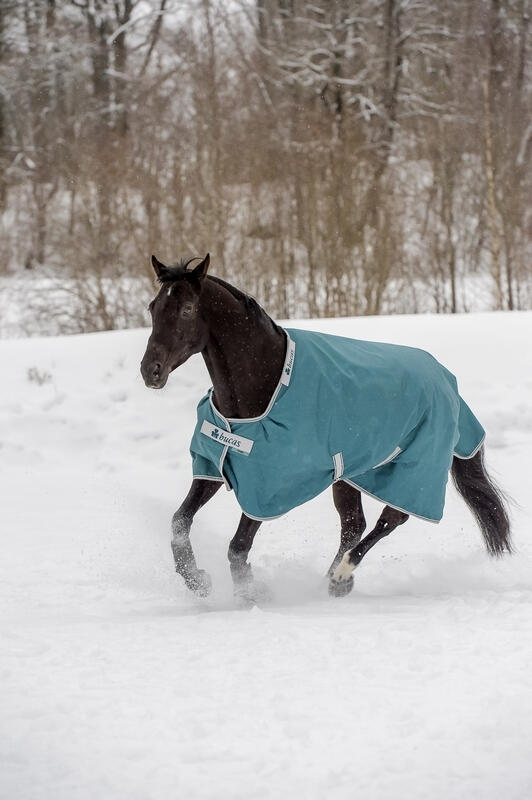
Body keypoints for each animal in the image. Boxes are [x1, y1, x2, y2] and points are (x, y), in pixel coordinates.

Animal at [140, 253, 512, 602]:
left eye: (187, 309)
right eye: (153, 307)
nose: (150, 371)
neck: (262, 385)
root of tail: (446, 378)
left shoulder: (271, 485)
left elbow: (237, 546)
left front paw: (250, 592)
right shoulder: (215, 465)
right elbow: (179, 522)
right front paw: (197, 580)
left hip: (415, 470)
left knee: (391, 518)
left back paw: (341, 577)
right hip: (349, 472)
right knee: (354, 524)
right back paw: (330, 583)